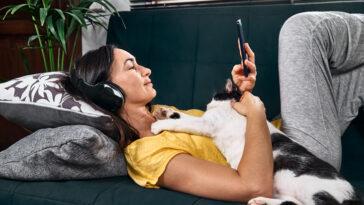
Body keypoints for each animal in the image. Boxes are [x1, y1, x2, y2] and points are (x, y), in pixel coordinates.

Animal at [150, 78, 362, 205]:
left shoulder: (207, 124)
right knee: (291, 203)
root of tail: (355, 195)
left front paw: (159, 125)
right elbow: (183, 116)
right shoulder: (206, 120)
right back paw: (260, 200)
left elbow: (184, 122)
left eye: (217, 95)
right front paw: (165, 112)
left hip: (315, 191)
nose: (209, 103)